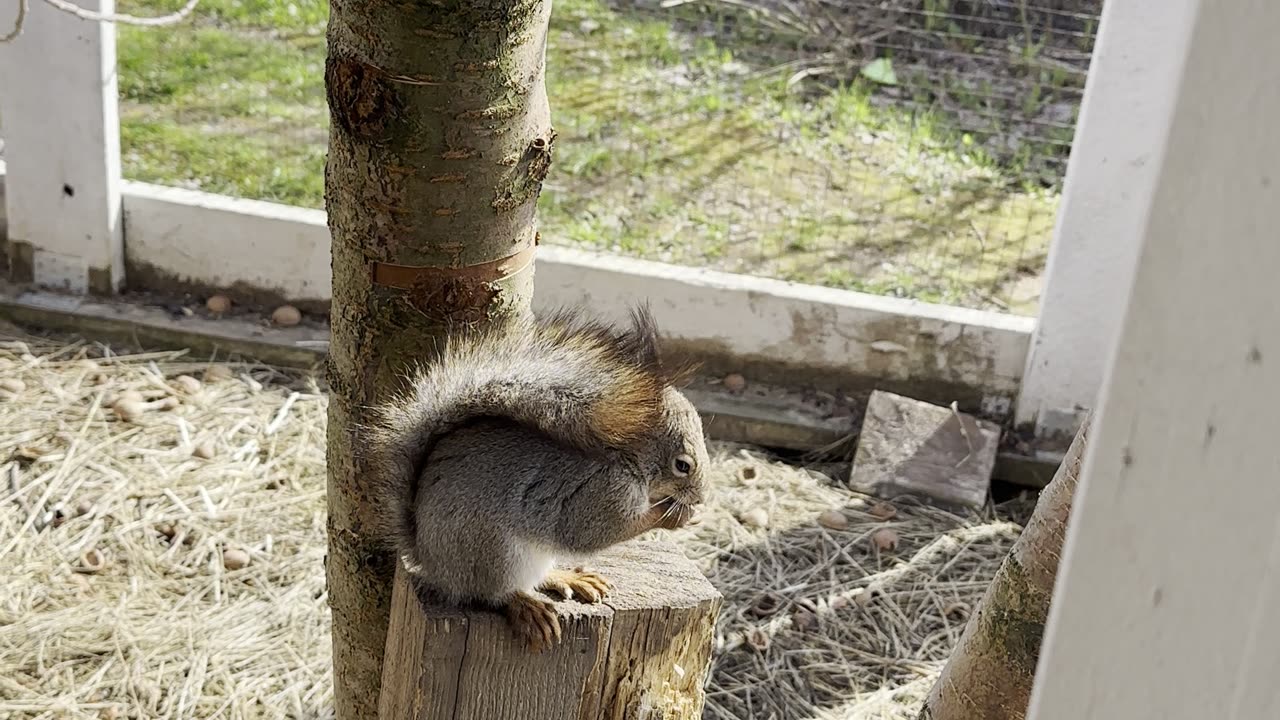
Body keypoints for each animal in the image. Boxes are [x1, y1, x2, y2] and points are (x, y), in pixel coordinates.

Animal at [363, 302, 711, 650]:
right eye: (683, 465)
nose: (703, 497)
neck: (626, 458)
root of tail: (429, 559)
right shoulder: (600, 493)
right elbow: (593, 533)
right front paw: (673, 516)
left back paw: (569, 577)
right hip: (492, 554)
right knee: (489, 593)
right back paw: (525, 606)